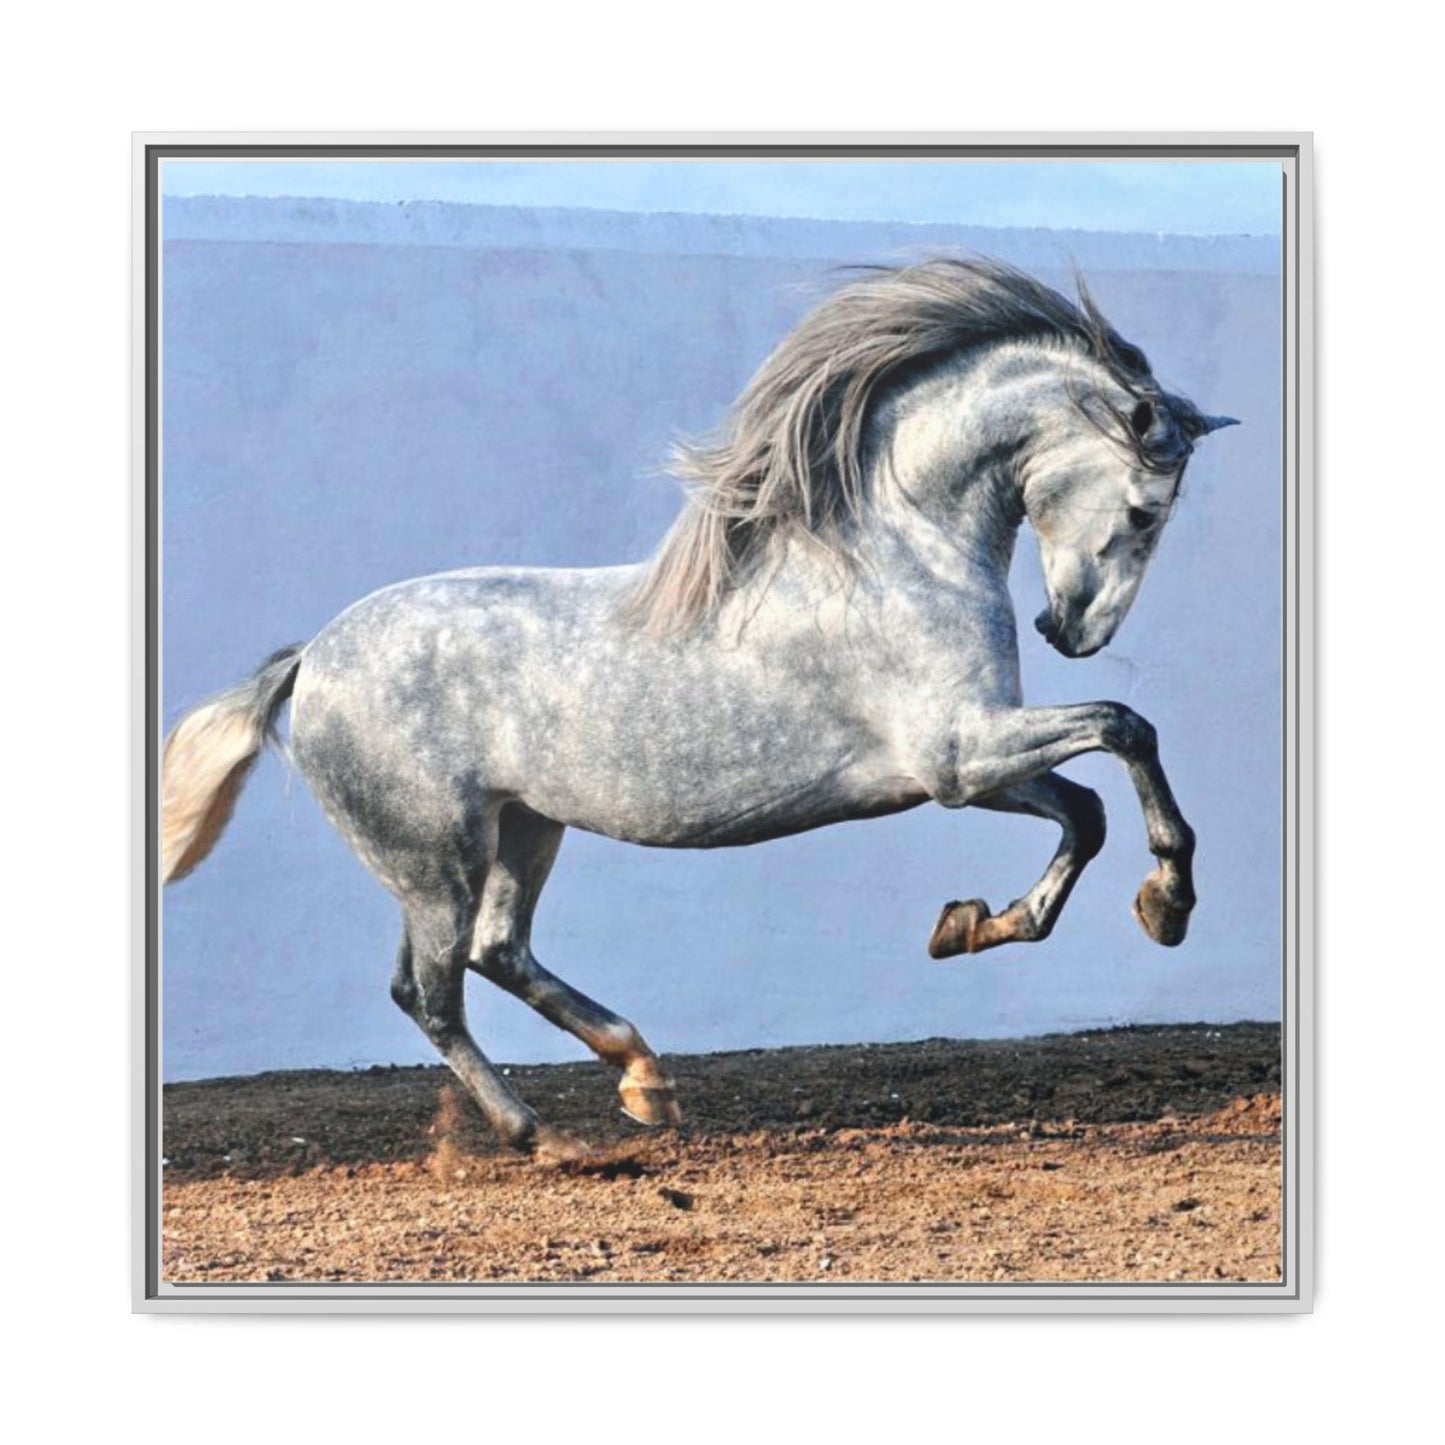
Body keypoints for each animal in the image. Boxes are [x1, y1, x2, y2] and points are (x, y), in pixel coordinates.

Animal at [161, 257, 1237, 1159]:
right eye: (1143, 510)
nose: (1070, 630)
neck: (894, 552)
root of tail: (310, 661)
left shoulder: (956, 768)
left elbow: (1085, 808)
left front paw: (975, 923)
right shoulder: (956, 754)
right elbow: (1124, 727)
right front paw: (1168, 903)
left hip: (523, 827)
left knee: (497, 951)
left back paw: (643, 1079)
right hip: (432, 858)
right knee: (429, 990)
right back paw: (539, 1132)